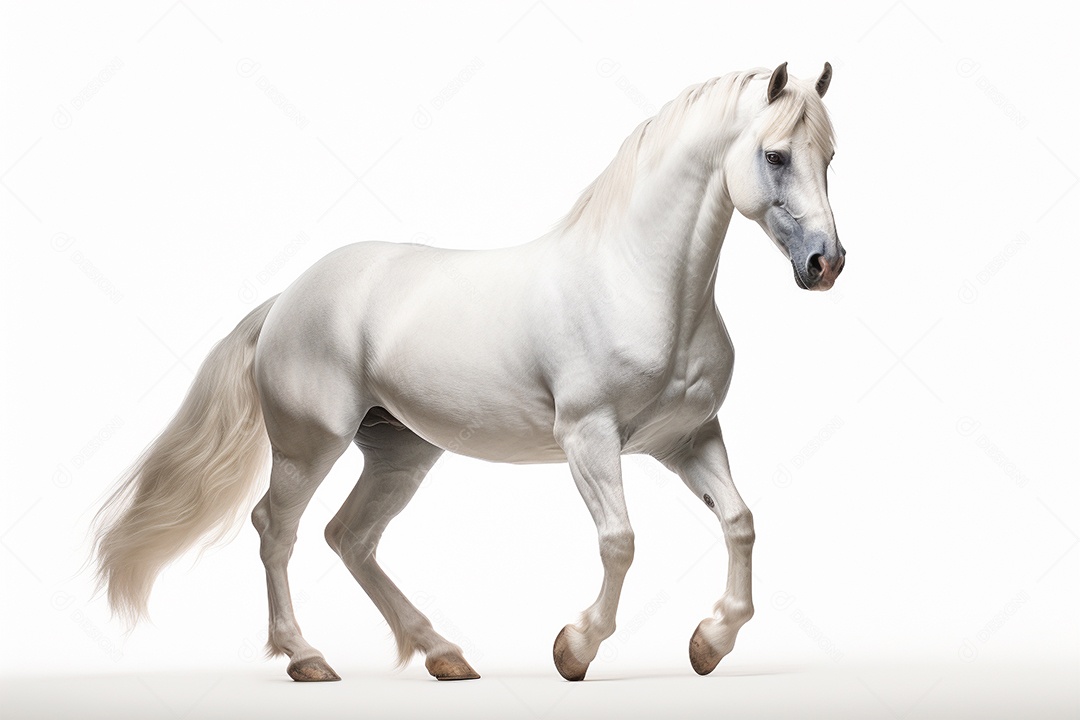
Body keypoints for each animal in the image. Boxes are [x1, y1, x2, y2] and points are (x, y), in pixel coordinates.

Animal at [93, 62, 844, 682]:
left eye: (830, 156)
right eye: (775, 155)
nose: (825, 263)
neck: (635, 283)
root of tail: (288, 298)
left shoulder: (687, 438)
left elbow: (740, 522)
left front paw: (709, 643)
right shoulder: (589, 438)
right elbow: (620, 541)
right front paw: (575, 649)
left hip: (399, 451)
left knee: (350, 537)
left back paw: (443, 654)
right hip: (310, 446)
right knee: (276, 530)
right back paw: (308, 659)